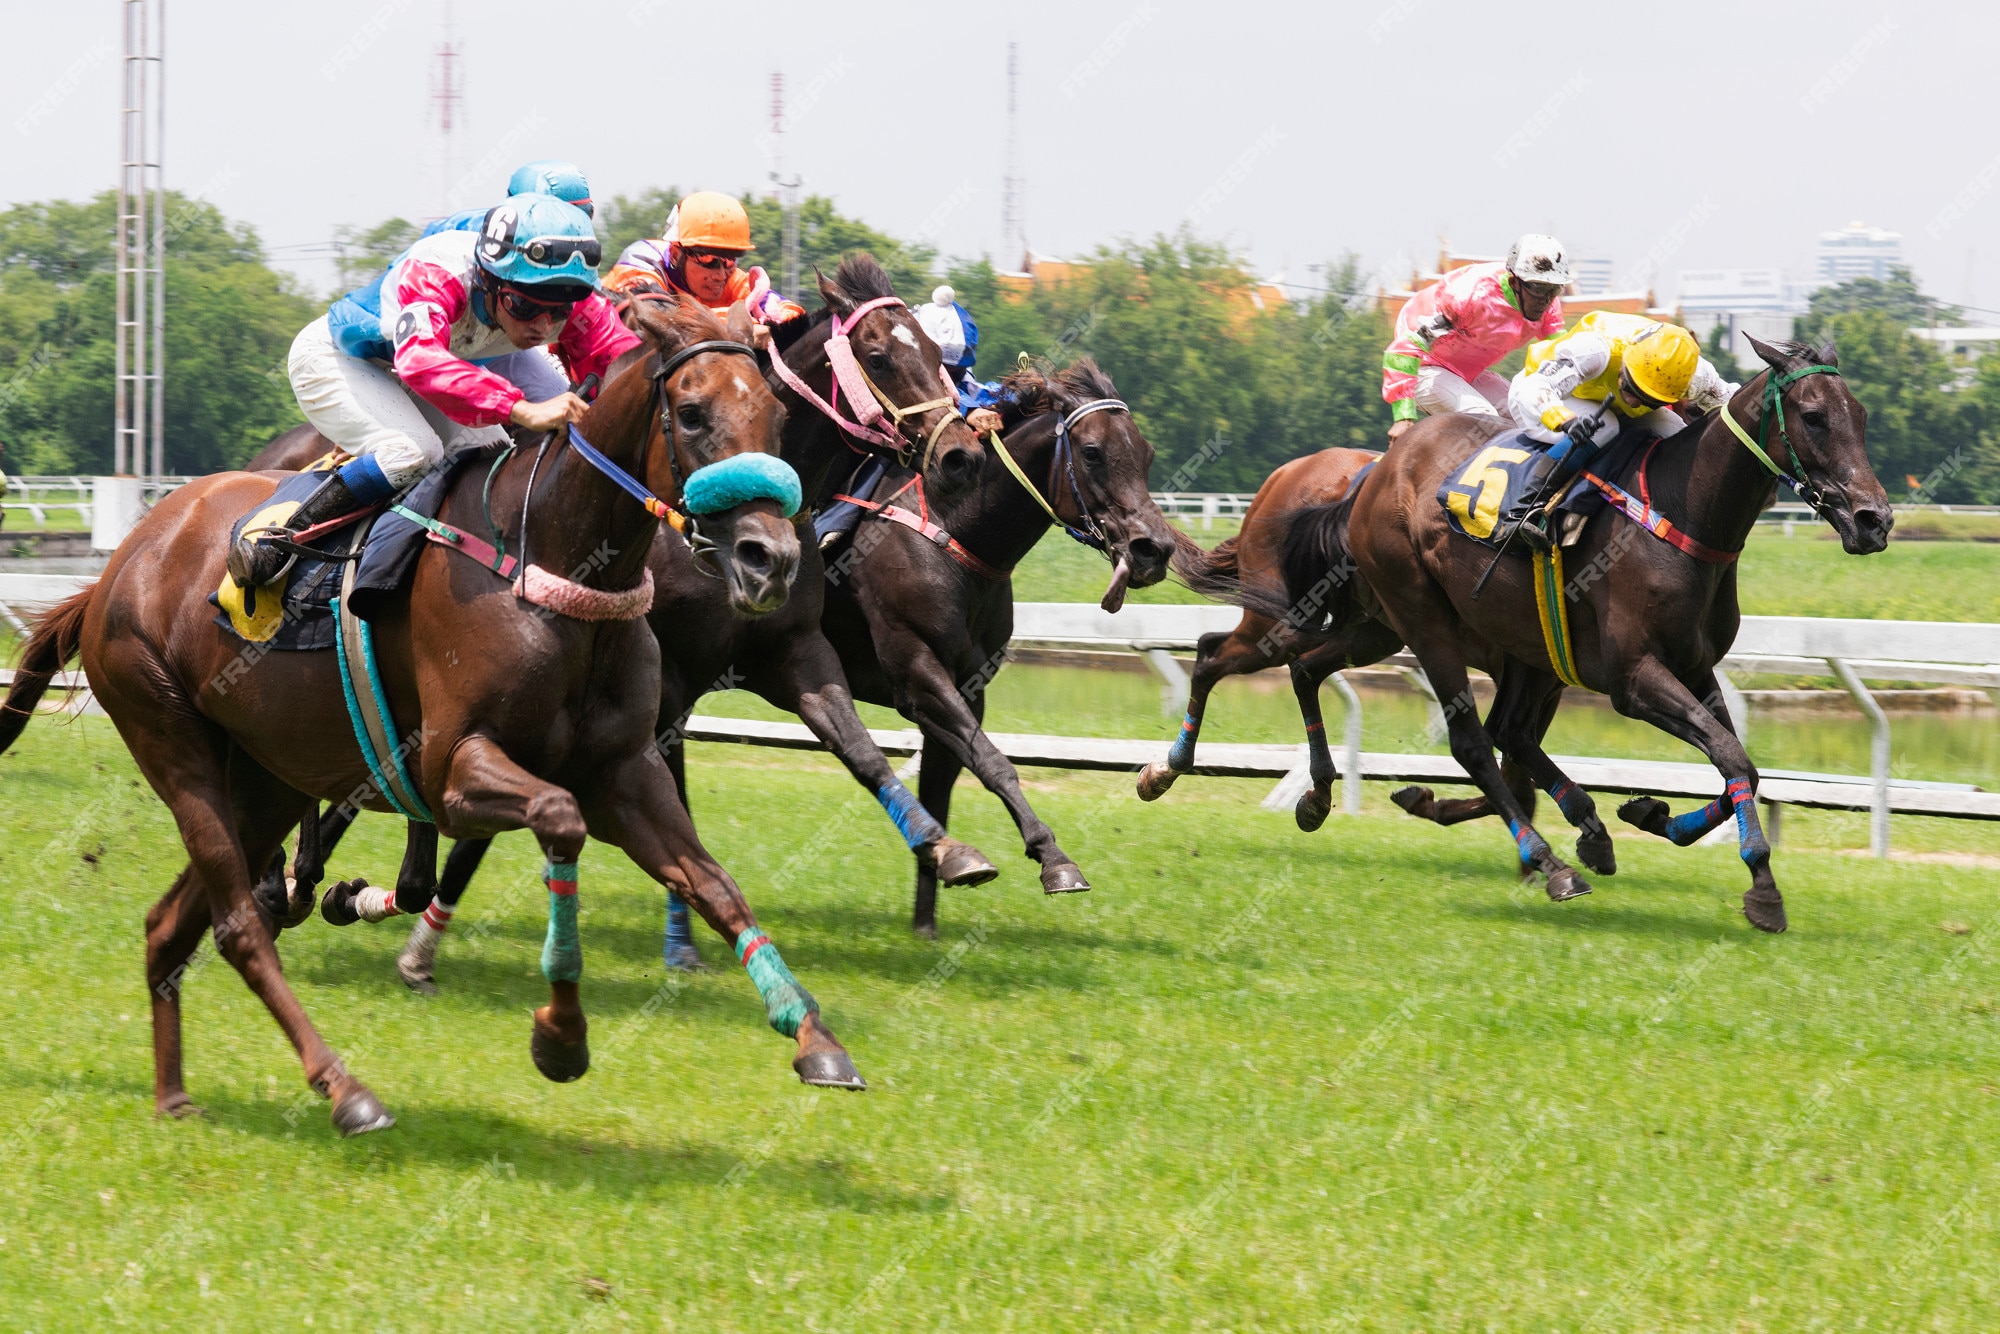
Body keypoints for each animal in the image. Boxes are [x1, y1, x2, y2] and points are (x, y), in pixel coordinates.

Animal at [1, 294, 876, 1136]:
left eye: (775, 414)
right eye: (691, 413)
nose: (772, 559)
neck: (550, 557)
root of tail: (115, 568)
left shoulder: (624, 773)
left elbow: (715, 885)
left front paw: (815, 1038)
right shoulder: (453, 768)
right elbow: (558, 822)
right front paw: (561, 1034)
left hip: (267, 777)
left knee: (169, 926)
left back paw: (174, 1096)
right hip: (170, 735)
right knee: (237, 927)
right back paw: (347, 1092)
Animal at [820, 360, 1176, 936]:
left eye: (1145, 454)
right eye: (1093, 452)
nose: (1154, 549)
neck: (954, 530)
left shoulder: (969, 684)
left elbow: (945, 782)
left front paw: (927, 918)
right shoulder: (918, 671)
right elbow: (994, 762)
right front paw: (1055, 861)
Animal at [1264, 340, 1888, 936]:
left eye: (1859, 415)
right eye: (1813, 417)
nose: (1875, 520)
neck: (1681, 512)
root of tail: (1380, 469)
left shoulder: (1694, 666)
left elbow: (1741, 764)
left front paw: (1660, 820)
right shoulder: (1634, 678)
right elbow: (1733, 755)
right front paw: (1761, 885)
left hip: (1427, 631)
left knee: (1326, 674)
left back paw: (1322, 797)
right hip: (1423, 619)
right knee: (1473, 743)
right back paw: (1551, 863)